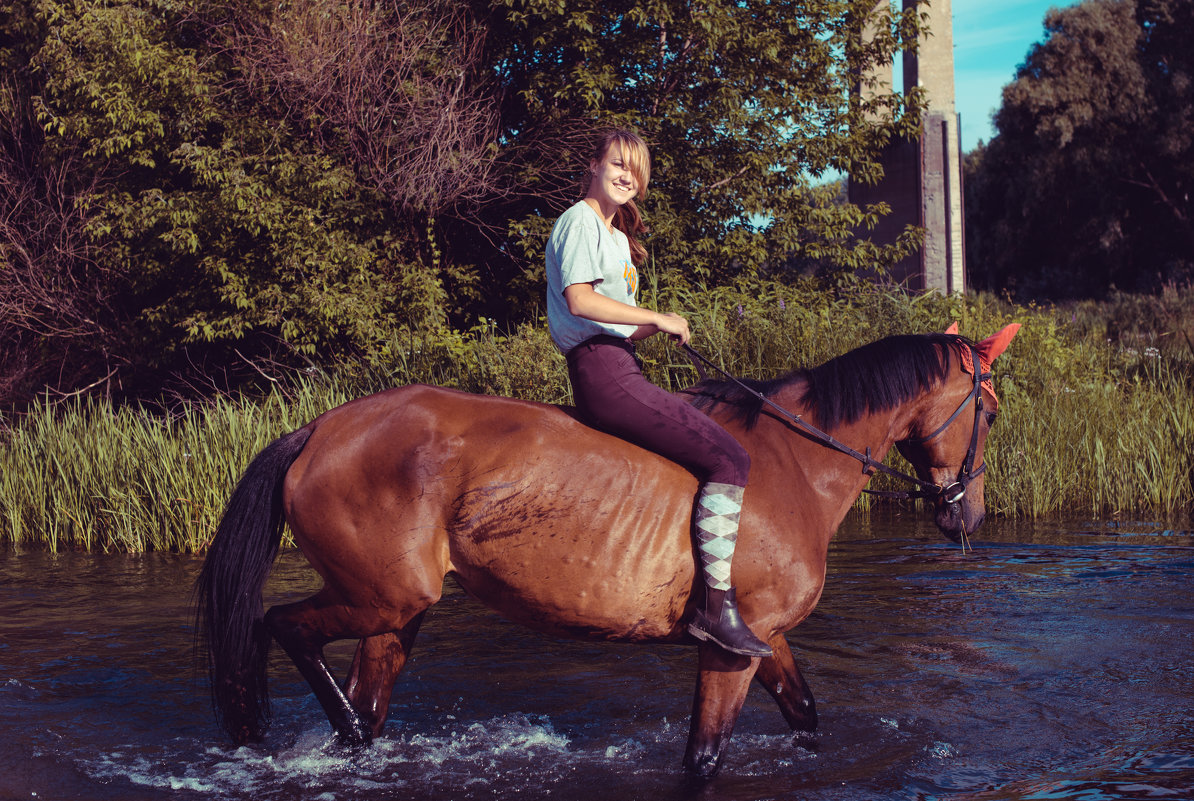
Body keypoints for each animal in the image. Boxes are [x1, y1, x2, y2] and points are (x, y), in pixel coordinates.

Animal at [193, 324, 1017, 778]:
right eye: (992, 406)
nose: (969, 512)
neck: (796, 463)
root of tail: (317, 429)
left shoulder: (764, 636)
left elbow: (806, 716)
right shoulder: (732, 647)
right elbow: (703, 756)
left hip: (394, 614)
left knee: (365, 693)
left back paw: (355, 738)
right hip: (382, 596)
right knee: (282, 626)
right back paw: (336, 730)